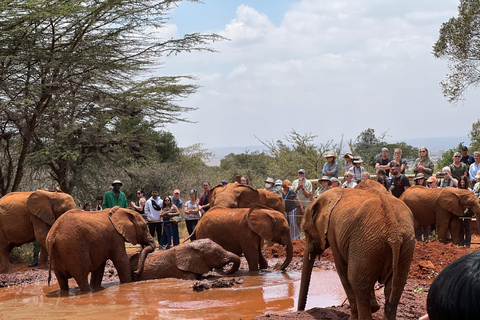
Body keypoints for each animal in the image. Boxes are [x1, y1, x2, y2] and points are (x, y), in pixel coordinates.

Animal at [298, 188, 414, 320]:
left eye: (305, 230)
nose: (301, 311)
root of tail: (394, 232)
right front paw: (375, 307)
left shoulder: (333, 231)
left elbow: (342, 270)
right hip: (404, 244)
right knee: (395, 287)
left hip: (366, 241)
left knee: (357, 282)